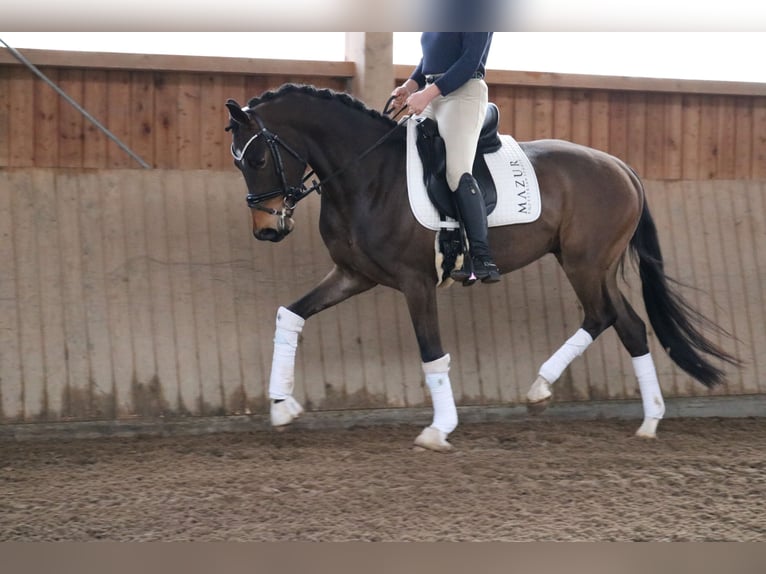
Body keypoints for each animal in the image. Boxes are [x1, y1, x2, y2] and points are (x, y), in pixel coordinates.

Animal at [225, 83, 740, 452]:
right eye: (239, 162)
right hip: (596, 266)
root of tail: (620, 166)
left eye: (257, 157)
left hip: (585, 263)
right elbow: (290, 314)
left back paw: (542, 390)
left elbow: (432, 351)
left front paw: (439, 430)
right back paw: (645, 421)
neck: (367, 175)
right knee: (628, 325)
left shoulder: (416, 282)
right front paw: (281, 405)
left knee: (603, 316)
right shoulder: (355, 275)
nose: (267, 229)